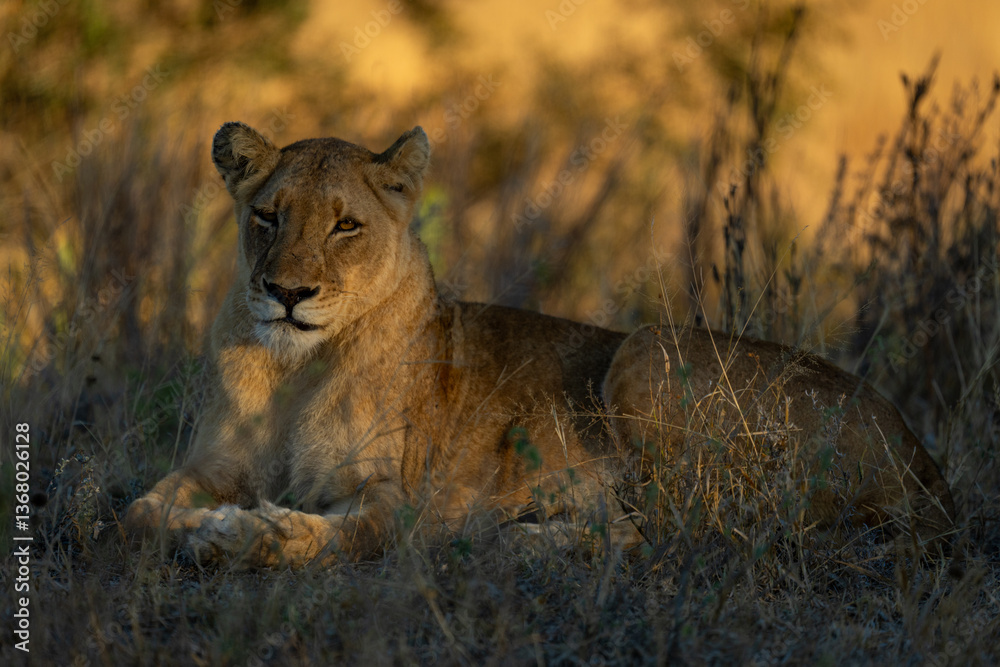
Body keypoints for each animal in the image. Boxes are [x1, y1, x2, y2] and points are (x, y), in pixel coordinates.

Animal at [124, 122, 955, 567]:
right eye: (268, 215)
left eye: (345, 225)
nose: (287, 292)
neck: (292, 372)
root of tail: (924, 457)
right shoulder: (214, 464)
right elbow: (137, 512)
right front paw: (191, 522)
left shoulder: (396, 498)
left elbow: (334, 536)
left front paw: (233, 533)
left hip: (644, 352)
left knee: (682, 528)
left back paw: (513, 538)